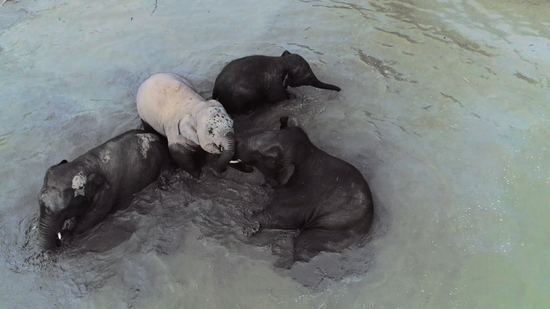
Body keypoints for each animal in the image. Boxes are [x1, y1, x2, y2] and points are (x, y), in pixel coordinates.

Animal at [38, 129, 174, 249]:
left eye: (64, 211)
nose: (57, 243)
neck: (86, 164)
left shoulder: (106, 193)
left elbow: (91, 218)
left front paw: (67, 237)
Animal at [213, 50, 342, 114]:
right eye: (308, 78)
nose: (340, 89)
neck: (283, 61)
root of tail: (215, 87)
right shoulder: (274, 85)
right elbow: (278, 98)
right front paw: (293, 97)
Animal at [237, 116, 376, 262]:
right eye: (264, 132)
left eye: (260, 156)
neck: (309, 155)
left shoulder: (299, 197)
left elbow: (280, 219)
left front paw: (249, 227)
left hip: (334, 232)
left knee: (303, 244)